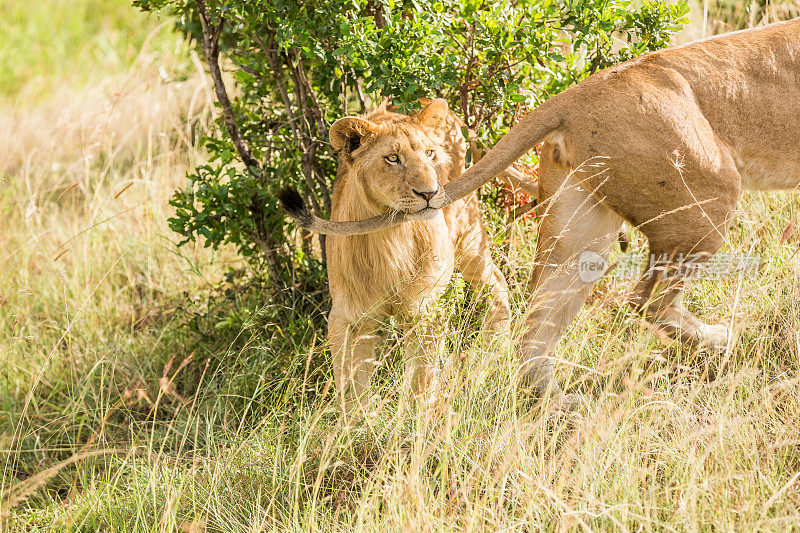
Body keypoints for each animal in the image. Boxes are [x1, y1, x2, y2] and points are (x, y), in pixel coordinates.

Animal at [324, 100, 512, 406]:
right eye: (392, 158)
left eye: (430, 153)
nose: (430, 193)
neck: (389, 237)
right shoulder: (348, 318)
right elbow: (351, 389)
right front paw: (356, 419)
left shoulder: (425, 310)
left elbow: (420, 382)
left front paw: (415, 417)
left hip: (468, 231)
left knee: (496, 283)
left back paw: (486, 359)